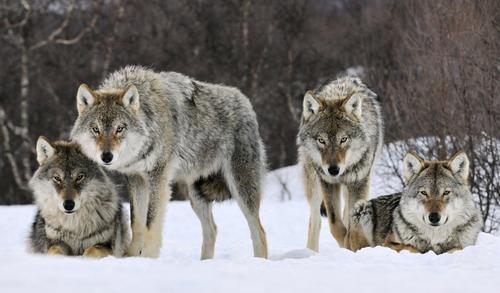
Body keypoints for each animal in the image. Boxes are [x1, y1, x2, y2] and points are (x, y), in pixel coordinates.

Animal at [69, 65, 270, 258]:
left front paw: (148, 258)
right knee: (212, 230)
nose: (106, 156)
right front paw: (132, 257)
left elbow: (150, 223)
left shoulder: (158, 178)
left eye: (120, 128)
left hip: (241, 189)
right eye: (96, 129)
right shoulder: (136, 179)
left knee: (259, 232)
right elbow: (137, 223)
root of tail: (246, 102)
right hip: (196, 195)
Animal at [296, 76, 382, 251]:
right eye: (321, 140)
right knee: (315, 221)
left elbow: (351, 222)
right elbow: (335, 224)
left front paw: (352, 244)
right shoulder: (328, 182)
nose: (333, 170)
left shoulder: (358, 182)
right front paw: (346, 244)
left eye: (343, 139)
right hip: (314, 185)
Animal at [346, 151, 482, 253]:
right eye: (424, 193)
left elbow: (457, 248)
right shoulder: (387, 243)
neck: (434, 237)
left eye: (446, 192)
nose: (434, 217)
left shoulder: (464, 246)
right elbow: (411, 247)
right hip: (362, 208)